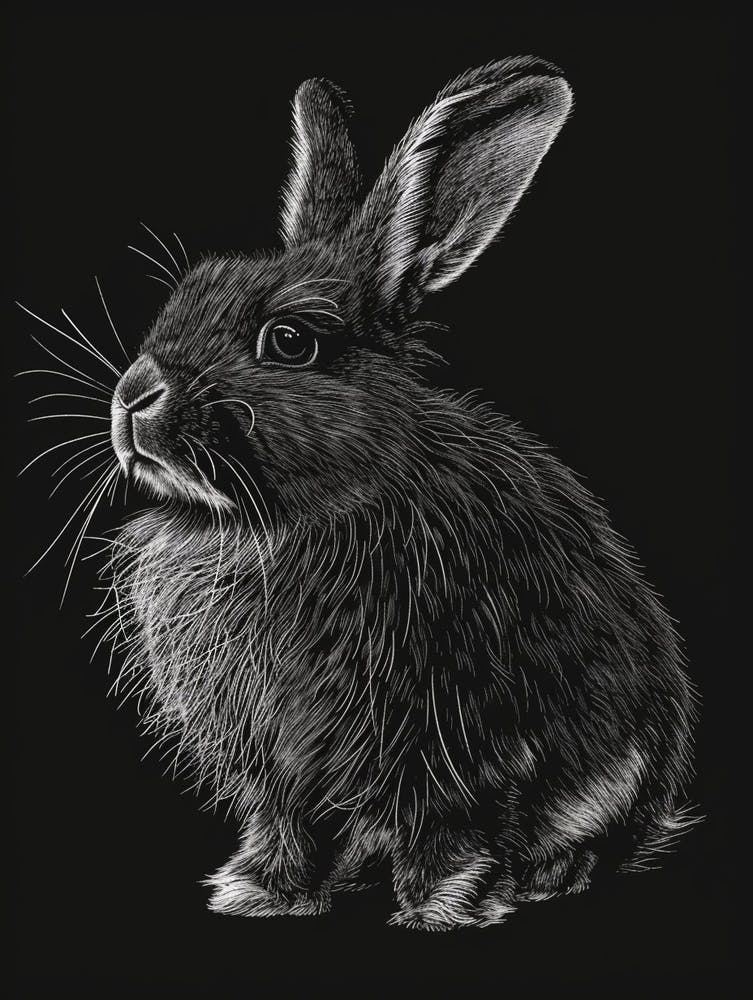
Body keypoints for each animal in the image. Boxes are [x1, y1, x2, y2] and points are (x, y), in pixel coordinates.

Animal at [95, 57, 698, 930]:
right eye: (189, 292)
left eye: (288, 341)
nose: (134, 394)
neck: (288, 517)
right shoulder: (275, 758)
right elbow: (286, 820)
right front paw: (259, 894)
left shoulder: (456, 734)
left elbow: (449, 819)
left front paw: (443, 908)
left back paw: (544, 875)